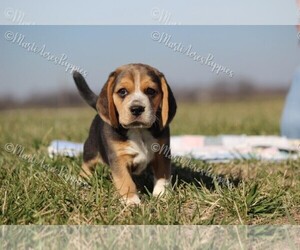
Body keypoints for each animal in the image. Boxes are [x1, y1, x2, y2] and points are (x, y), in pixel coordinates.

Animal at [72, 64, 176, 205]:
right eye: (122, 92)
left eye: (150, 91)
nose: (137, 108)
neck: (138, 130)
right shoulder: (118, 158)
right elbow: (125, 180)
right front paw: (131, 201)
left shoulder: (162, 153)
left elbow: (162, 175)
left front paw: (162, 194)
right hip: (91, 150)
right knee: (86, 166)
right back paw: (82, 180)